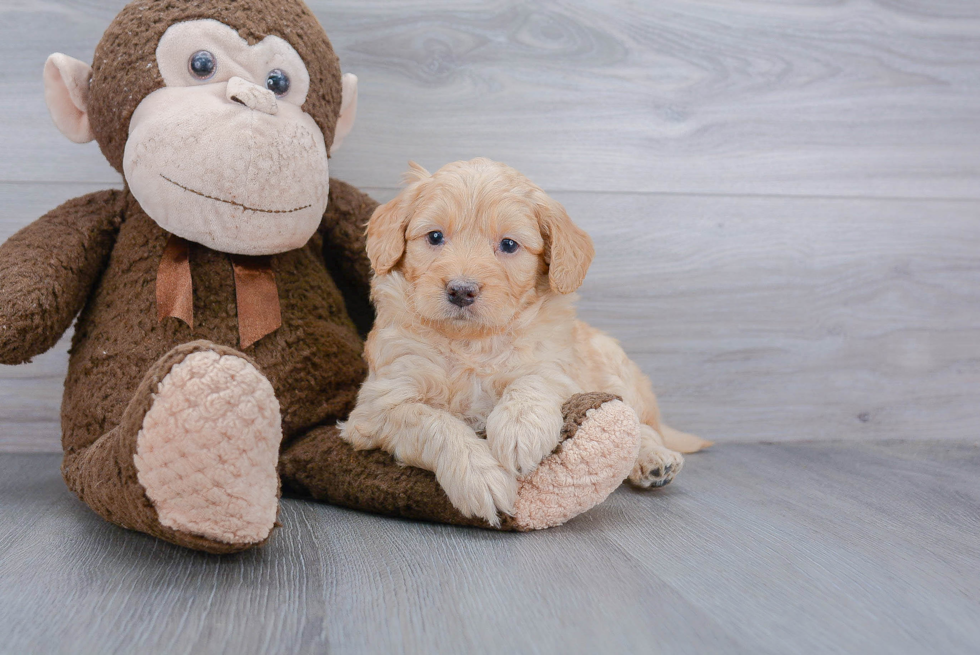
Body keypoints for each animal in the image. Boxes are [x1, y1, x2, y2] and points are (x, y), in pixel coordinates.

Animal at [340, 156, 708, 524]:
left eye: (508, 245)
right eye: (434, 236)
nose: (461, 290)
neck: (470, 344)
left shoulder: (555, 363)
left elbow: (533, 379)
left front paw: (519, 431)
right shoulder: (378, 407)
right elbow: (434, 422)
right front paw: (479, 475)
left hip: (615, 369)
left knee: (640, 424)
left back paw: (655, 459)